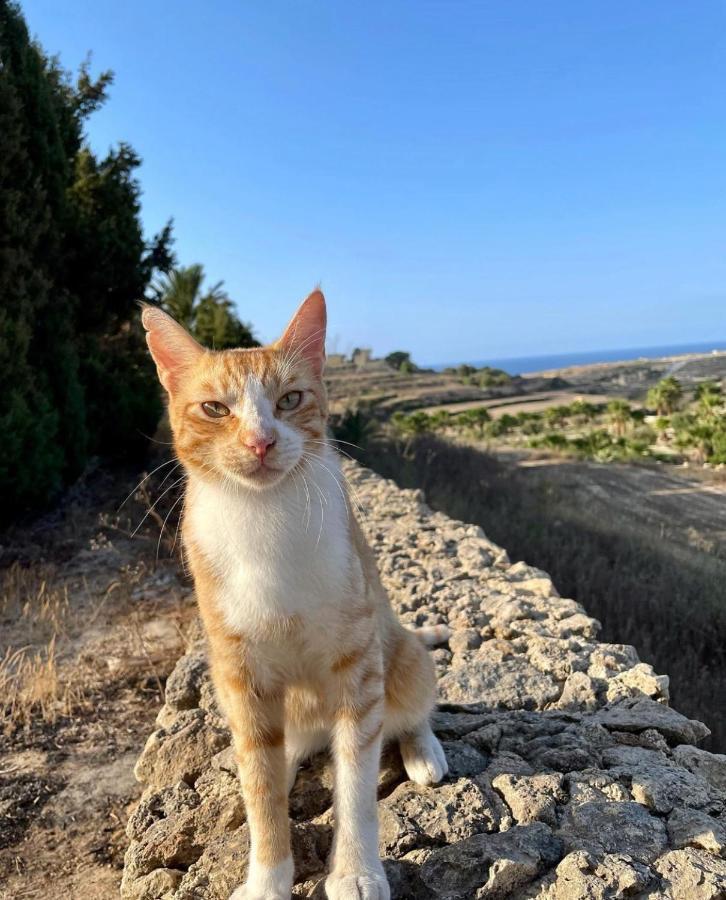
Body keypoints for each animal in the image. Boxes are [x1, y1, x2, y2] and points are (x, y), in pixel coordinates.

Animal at [142, 292, 446, 896]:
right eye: (215, 409)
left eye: (290, 399)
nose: (260, 441)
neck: (264, 519)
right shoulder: (240, 673)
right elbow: (260, 789)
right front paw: (267, 877)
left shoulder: (357, 664)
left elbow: (356, 781)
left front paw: (355, 872)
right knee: (274, 752)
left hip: (397, 653)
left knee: (409, 705)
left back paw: (423, 750)